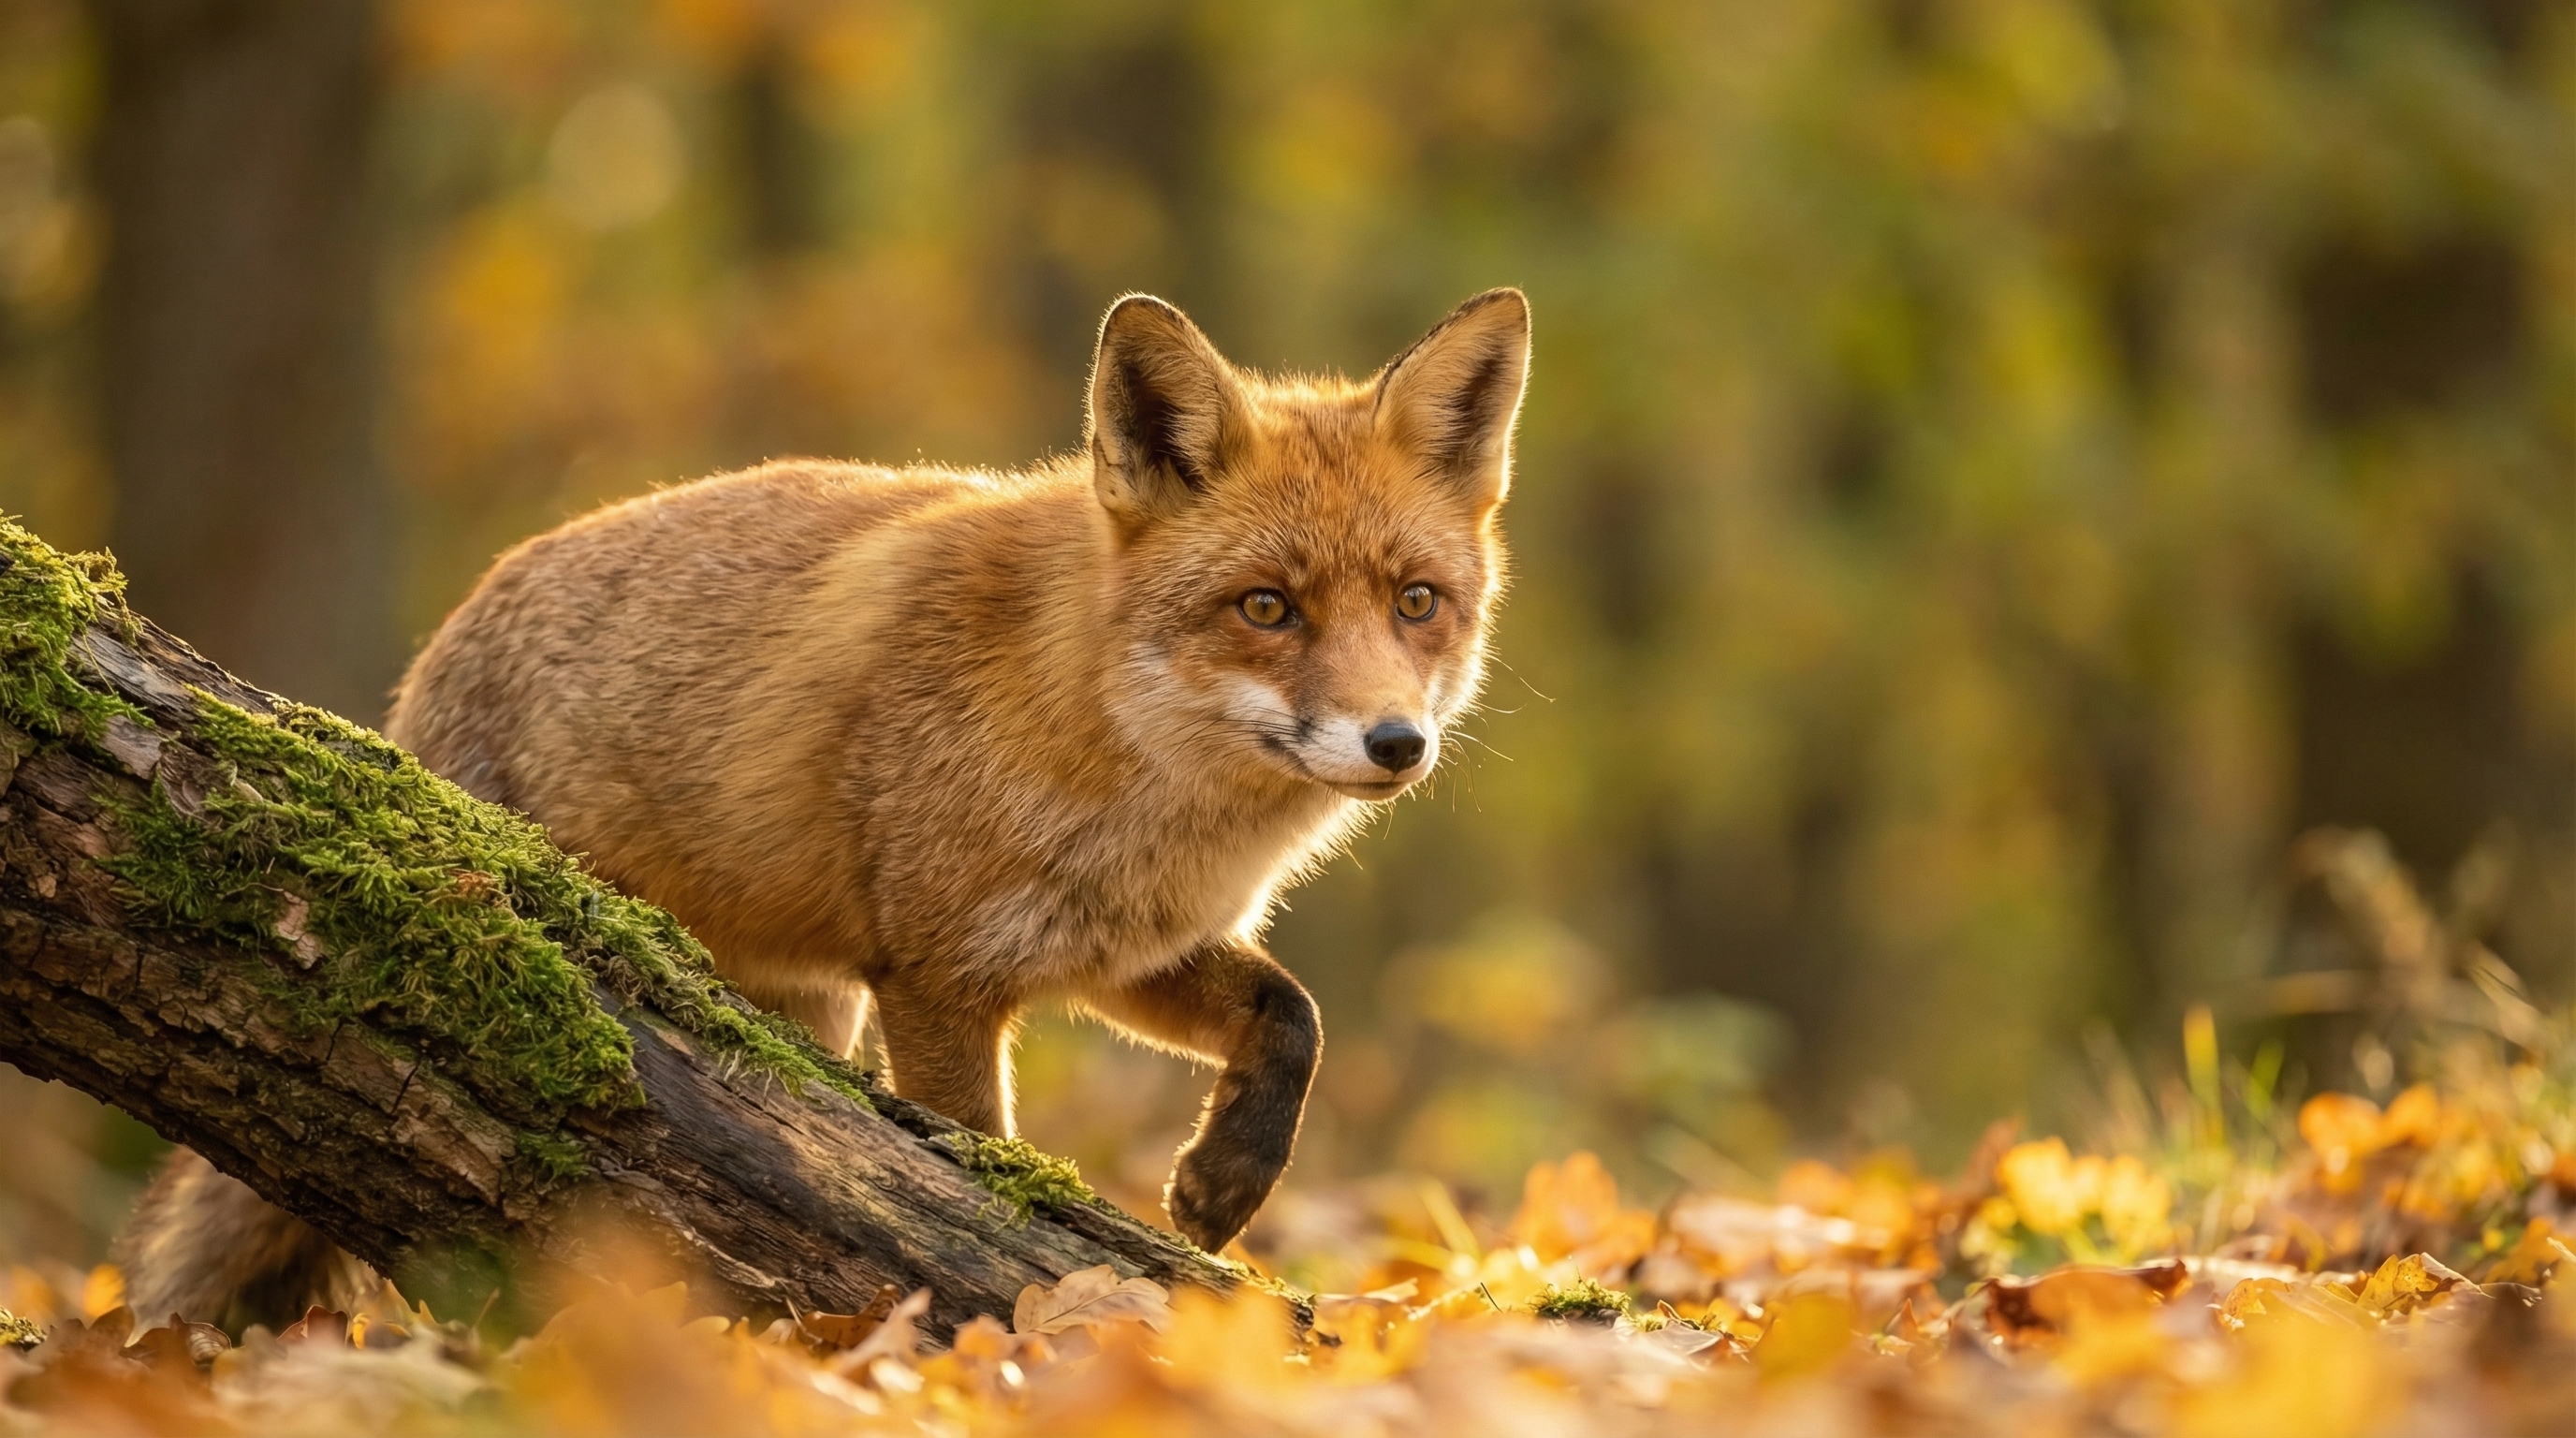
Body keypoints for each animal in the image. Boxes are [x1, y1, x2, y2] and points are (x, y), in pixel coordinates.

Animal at [117, 287, 1529, 1328]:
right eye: (1267, 608)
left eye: (1416, 602)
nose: (1396, 743)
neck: (1133, 773)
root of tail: (428, 663)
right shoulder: (940, 978)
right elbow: (969, 1186)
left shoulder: (1122, 952)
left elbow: (1297, 1020)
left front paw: (1226, 1183)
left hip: (812, 1009)